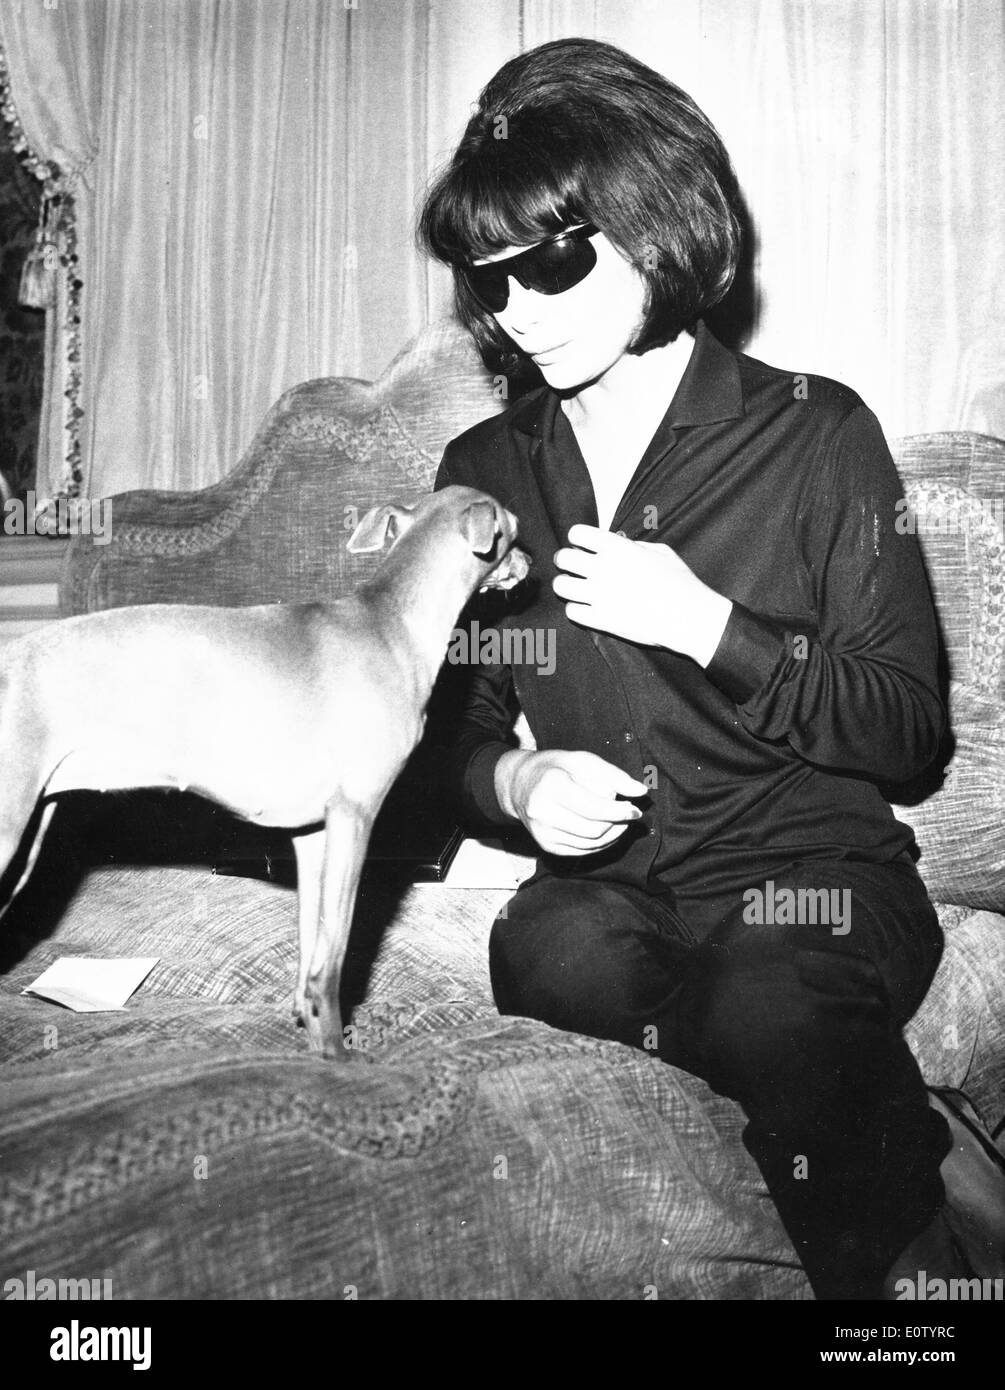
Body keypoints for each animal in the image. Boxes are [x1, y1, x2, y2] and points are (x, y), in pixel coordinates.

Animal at [0, 486, 530, 1050]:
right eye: (513, 531)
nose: (531, 560)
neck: (388, 624)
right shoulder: (354, 818)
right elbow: (330, 968)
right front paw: (337, 1056)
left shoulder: (313, 837)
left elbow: (309, 959)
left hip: (30, 838)